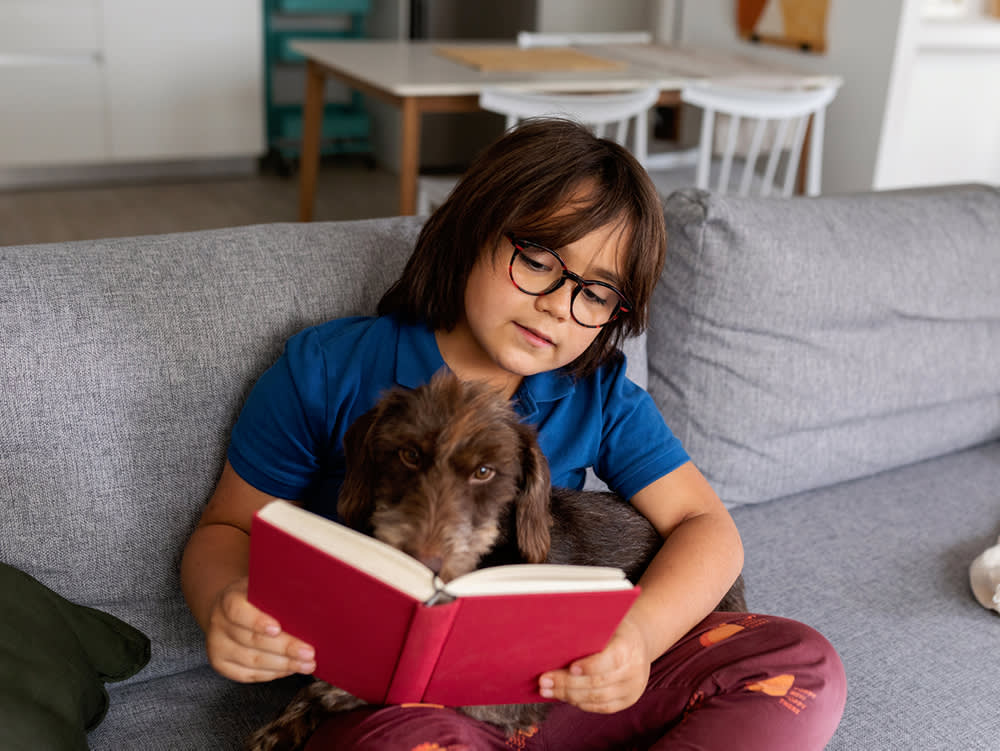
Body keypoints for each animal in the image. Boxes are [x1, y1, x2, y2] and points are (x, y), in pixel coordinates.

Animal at [246, 374, 748, 748]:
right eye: (409, 455)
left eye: (484, 472)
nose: (424, 562)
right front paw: (287, 719)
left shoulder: (518, 691)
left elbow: (442, 686)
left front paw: (339, 689)